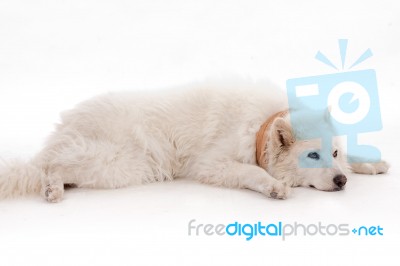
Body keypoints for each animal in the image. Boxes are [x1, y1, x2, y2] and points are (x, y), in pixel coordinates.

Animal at [0, 80, 390, 202]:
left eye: (333, 152)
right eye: (312, 156)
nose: (340, 182)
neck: (259, 128)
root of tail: (64, 127)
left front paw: (372, 162)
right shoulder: (212, 164)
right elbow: (253, 173)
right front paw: (274, 187)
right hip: (113, 161)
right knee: (50, 166)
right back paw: (51, 188)